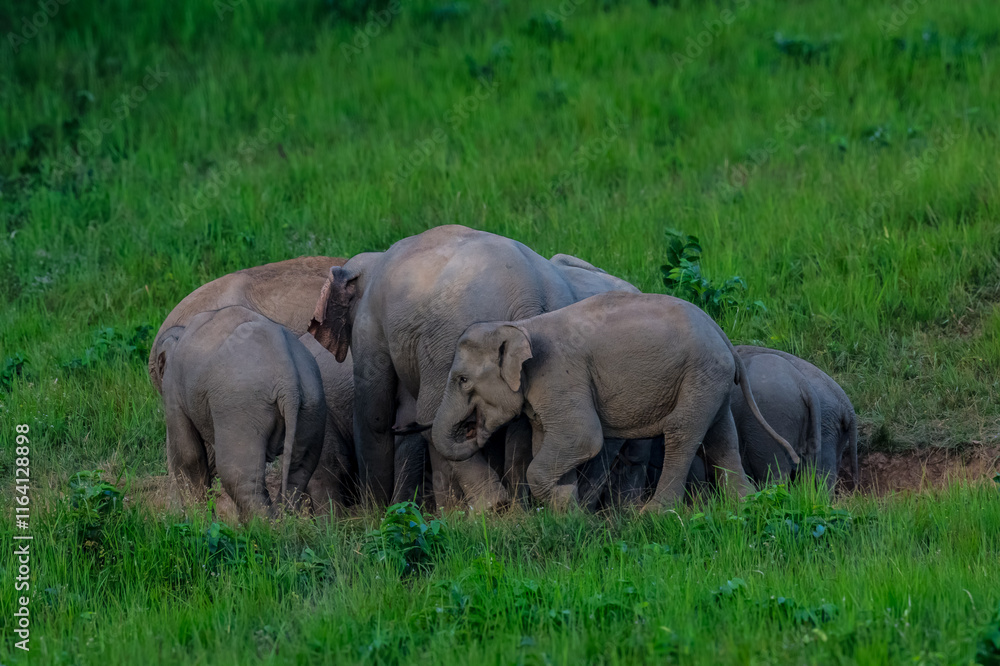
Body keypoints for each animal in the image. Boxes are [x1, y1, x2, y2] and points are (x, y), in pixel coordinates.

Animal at [157, 306, 327, 520]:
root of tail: (288, 380)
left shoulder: (173, 388)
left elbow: (188, 454)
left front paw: (200, 521)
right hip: (312, 404)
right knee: (298, 472)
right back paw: (287, 521)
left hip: (241, 408)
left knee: (239, 476)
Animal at [308, 225, 639, 510]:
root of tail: (531, 293)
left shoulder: (369, 324)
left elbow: (374, 415)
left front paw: (374, 513)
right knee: (518, 423)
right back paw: (514, 510)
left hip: (449, 340)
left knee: (433, 413)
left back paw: (492, 506)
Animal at [431, 292, 799, 511]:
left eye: (462, 380)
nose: (471, 431)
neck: (521, 327)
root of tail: (720, 331)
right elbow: (546, 441)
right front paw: (565, 510)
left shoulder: (560, 377)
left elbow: (583, 437)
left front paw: (567, 508)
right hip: (712, 380)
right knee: (721, 436)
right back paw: (745, 505)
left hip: (700, 373)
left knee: (682, 431)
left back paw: (654, 515)